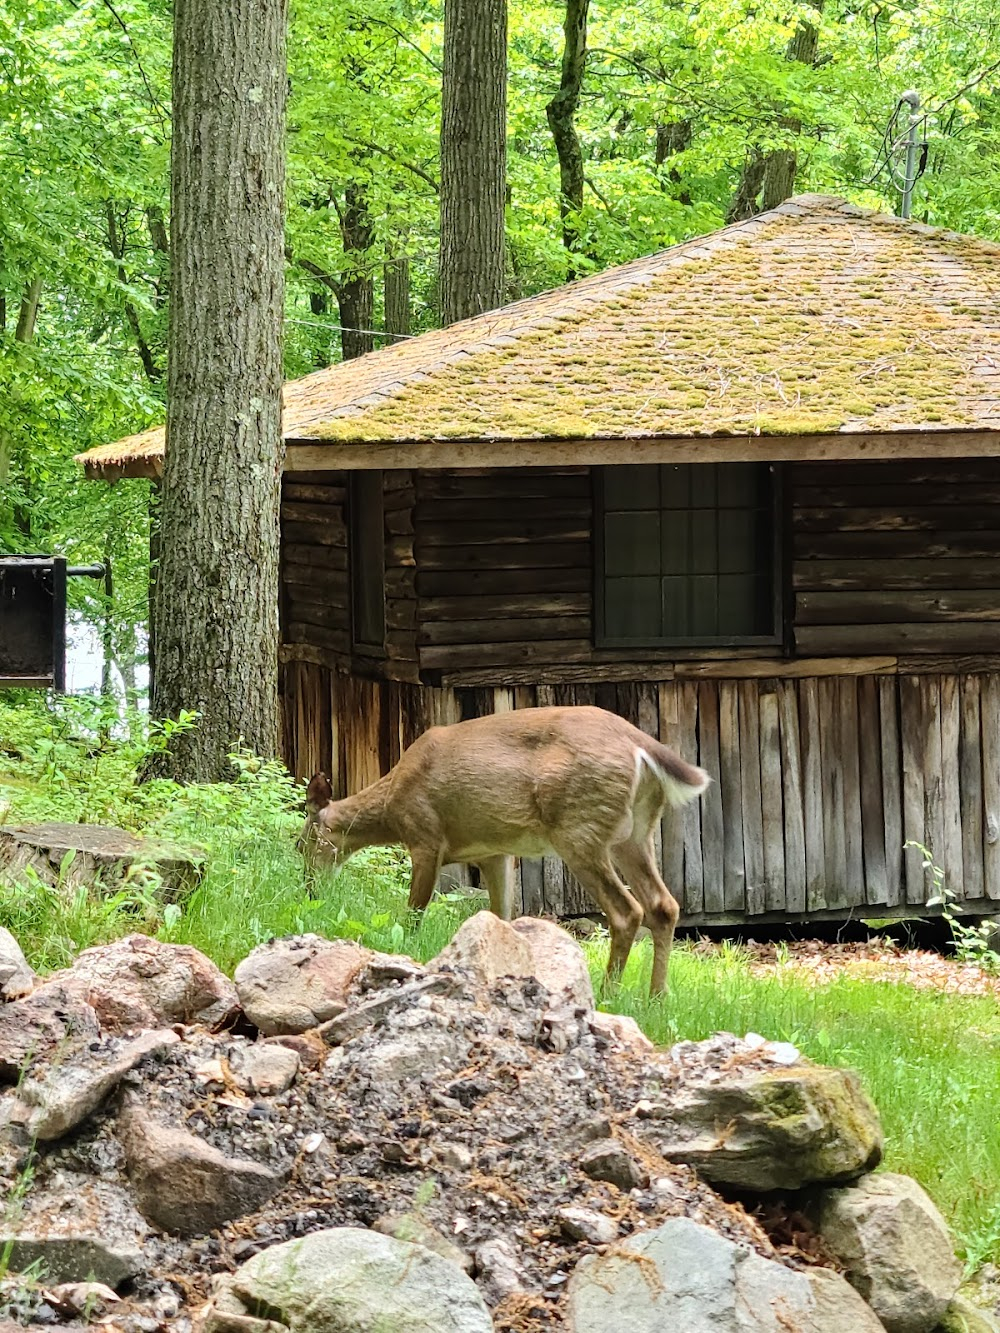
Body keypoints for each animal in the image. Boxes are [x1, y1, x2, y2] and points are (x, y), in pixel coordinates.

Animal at [304, 703, 714, 997]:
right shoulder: (494, 851)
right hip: (635, 832)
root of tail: (641, 747)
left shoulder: (424, 837)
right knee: (663, 905)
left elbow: (414, 913)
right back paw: (656, 997)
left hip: (580, 828)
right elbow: (501, 915)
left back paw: (608, 993)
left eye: (302, 841)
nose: (308, 887)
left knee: (627, 911)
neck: (391, 803)